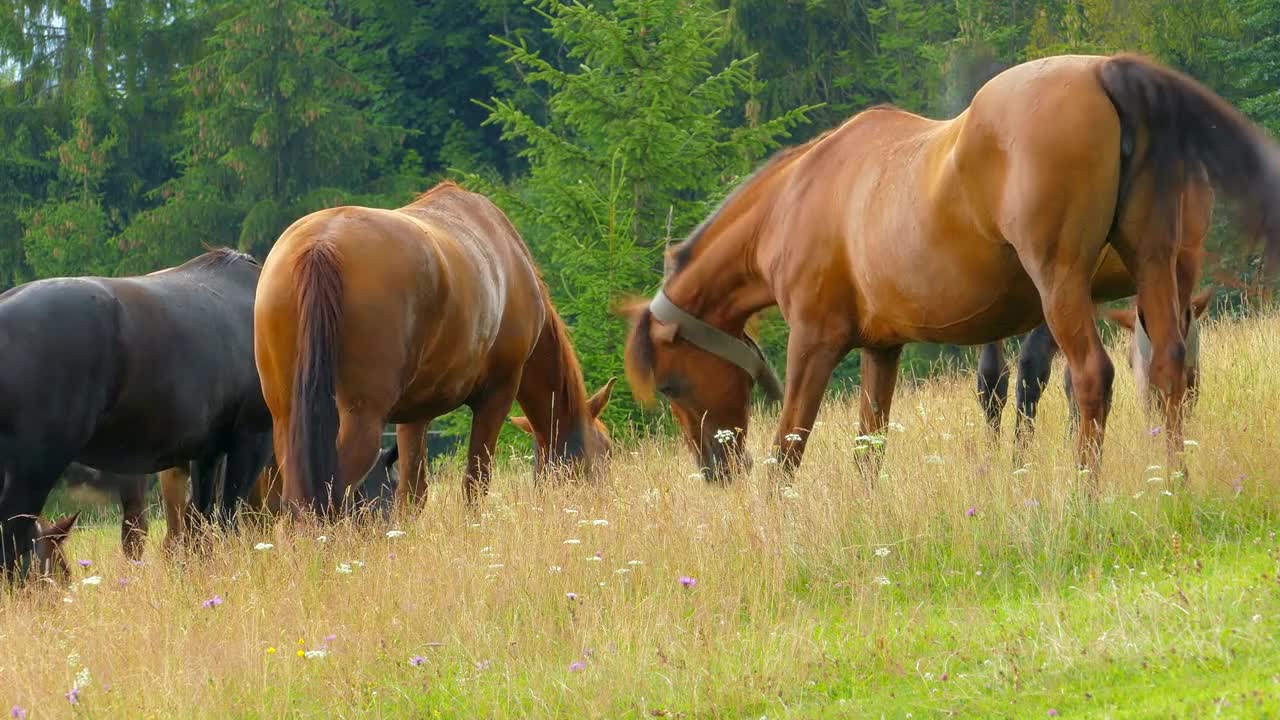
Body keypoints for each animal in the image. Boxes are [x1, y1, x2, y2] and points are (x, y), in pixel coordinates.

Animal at [254, 179, 614, 515]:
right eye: (606, 449)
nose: (602, 497)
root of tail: (321, 244)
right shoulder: (497, 393)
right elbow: (475, 482)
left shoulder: (414, 415)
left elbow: (413, 494)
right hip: (360, 420)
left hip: (288, 421)